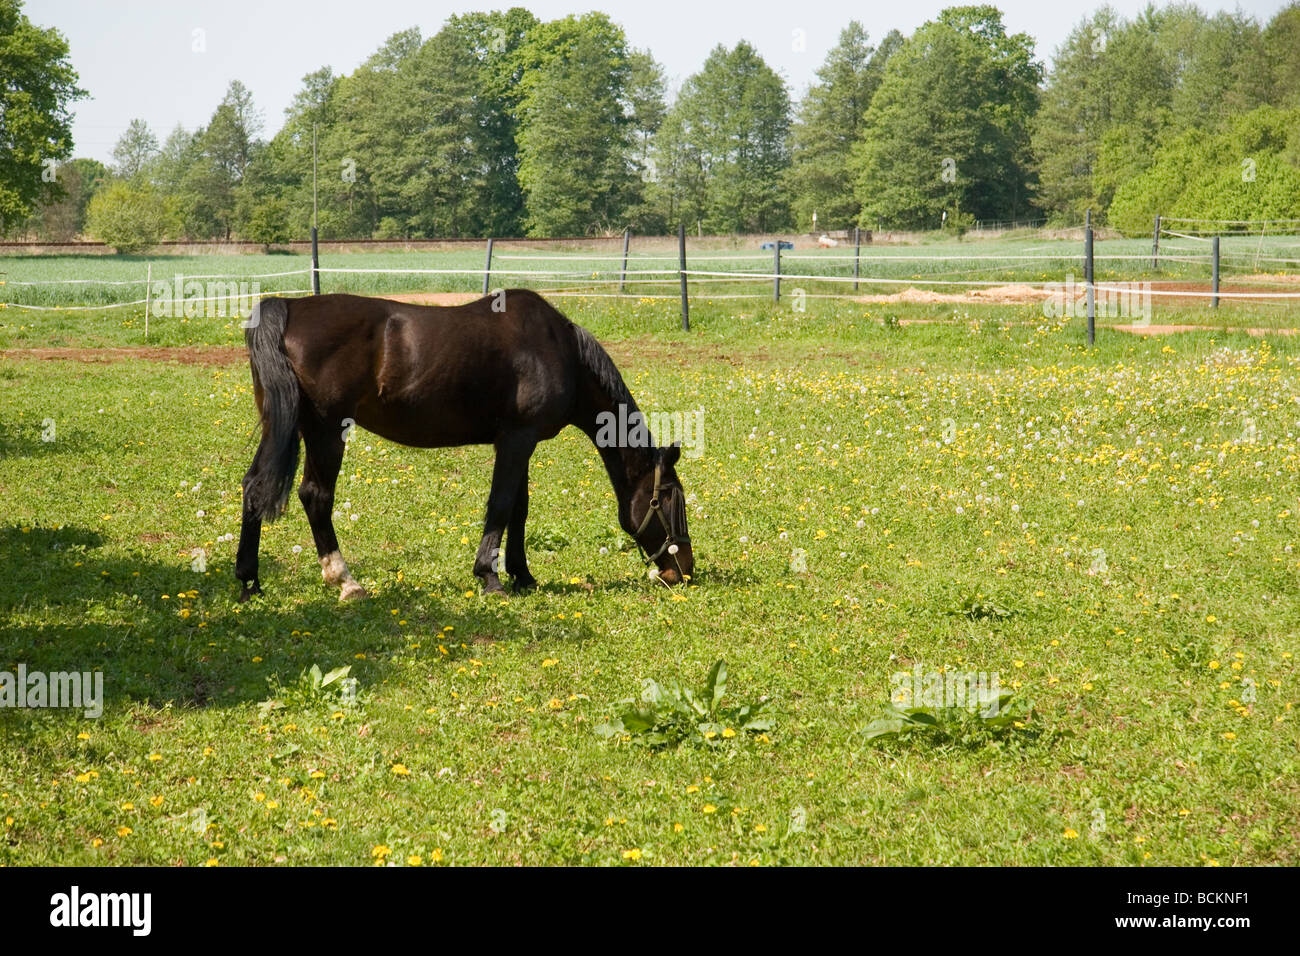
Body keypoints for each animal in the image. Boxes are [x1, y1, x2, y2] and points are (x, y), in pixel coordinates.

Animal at [239, 291, 696, 600]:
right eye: (672, 499)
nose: (683, 571)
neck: (559, 349)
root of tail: (288, 307)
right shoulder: (516, 440)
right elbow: (501, 504)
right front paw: (490, 576)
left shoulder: (519, 443)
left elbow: (519, 509)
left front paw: (522, 574)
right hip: (326, 432)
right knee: (315, 496)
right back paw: (345, 581)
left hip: (284, 428)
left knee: (255, 488)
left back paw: (249, 582)